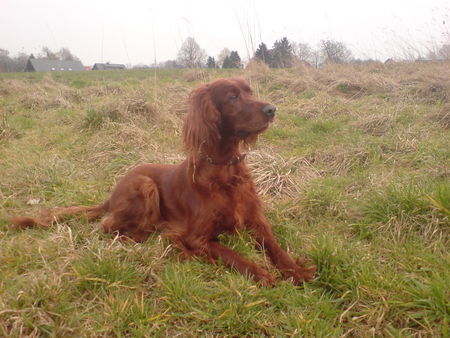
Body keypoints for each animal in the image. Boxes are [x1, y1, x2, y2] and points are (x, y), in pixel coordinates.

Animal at [13, 78, 316, 286]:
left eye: (250, 92)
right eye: (232, 96)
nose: (272, 109)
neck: (224, 170)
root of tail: (111, 195)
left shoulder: (256, 221)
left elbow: (276, 247)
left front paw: (296, 271)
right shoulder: (198, 236)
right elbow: (233, 255)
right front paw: (262, 275)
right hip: (145, 185)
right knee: (109, 226)